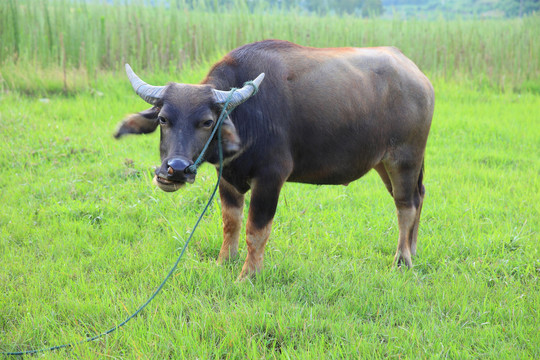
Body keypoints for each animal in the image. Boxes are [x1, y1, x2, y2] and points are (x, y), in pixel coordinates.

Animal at [115, 40, 434, 282]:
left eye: (207, 121)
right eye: (163, 118)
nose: (175, 170)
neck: (247, 116)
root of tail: (420, 78)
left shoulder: (270, 178)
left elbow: (256, 230)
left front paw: (248, 275)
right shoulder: (227, 178)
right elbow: (231, 222)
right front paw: (224, 262)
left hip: (404, 159)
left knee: (405, 206)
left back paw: (402, 260)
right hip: (383, 163)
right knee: (418, 197)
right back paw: (414, 249)